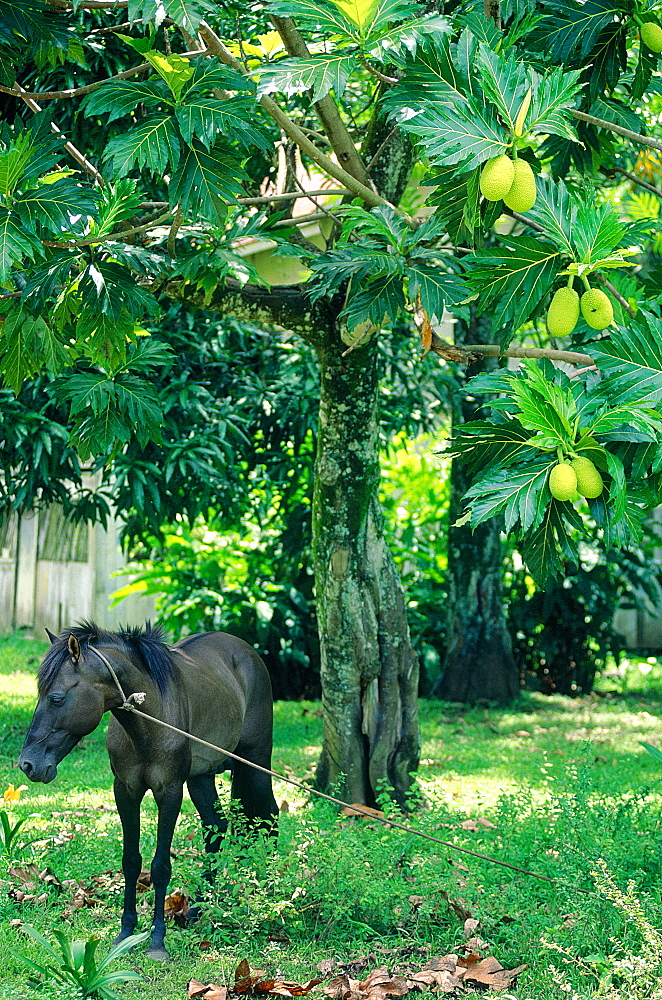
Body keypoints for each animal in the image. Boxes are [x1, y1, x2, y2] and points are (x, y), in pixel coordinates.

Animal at [18, 624, 278, 960]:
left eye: (57, 699)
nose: (28, 764)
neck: (149, 721)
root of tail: (245, 650)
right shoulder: (125, 791)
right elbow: (131, 861)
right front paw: (126, 932)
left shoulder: (169, 792)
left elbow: (160, 866)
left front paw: (157, 941)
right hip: (201, 777)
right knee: (216, 828)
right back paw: (199, 906)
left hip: (257, 763)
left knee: (270, 819)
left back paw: (269, 893)